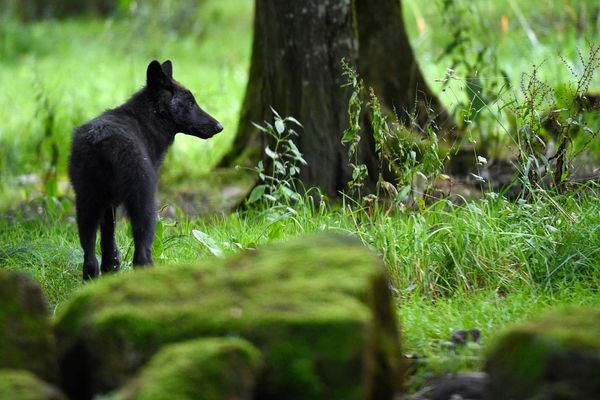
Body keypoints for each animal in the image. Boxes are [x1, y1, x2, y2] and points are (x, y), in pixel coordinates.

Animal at [68, 60, 223, 278]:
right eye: (191, 103)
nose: (220, 126)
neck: (147, 120)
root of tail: (102, 141)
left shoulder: (109, 204)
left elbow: (108, 237)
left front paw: (111, 267)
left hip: (86, 204)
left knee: (89, 256)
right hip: (145, 206)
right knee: (141, 254)